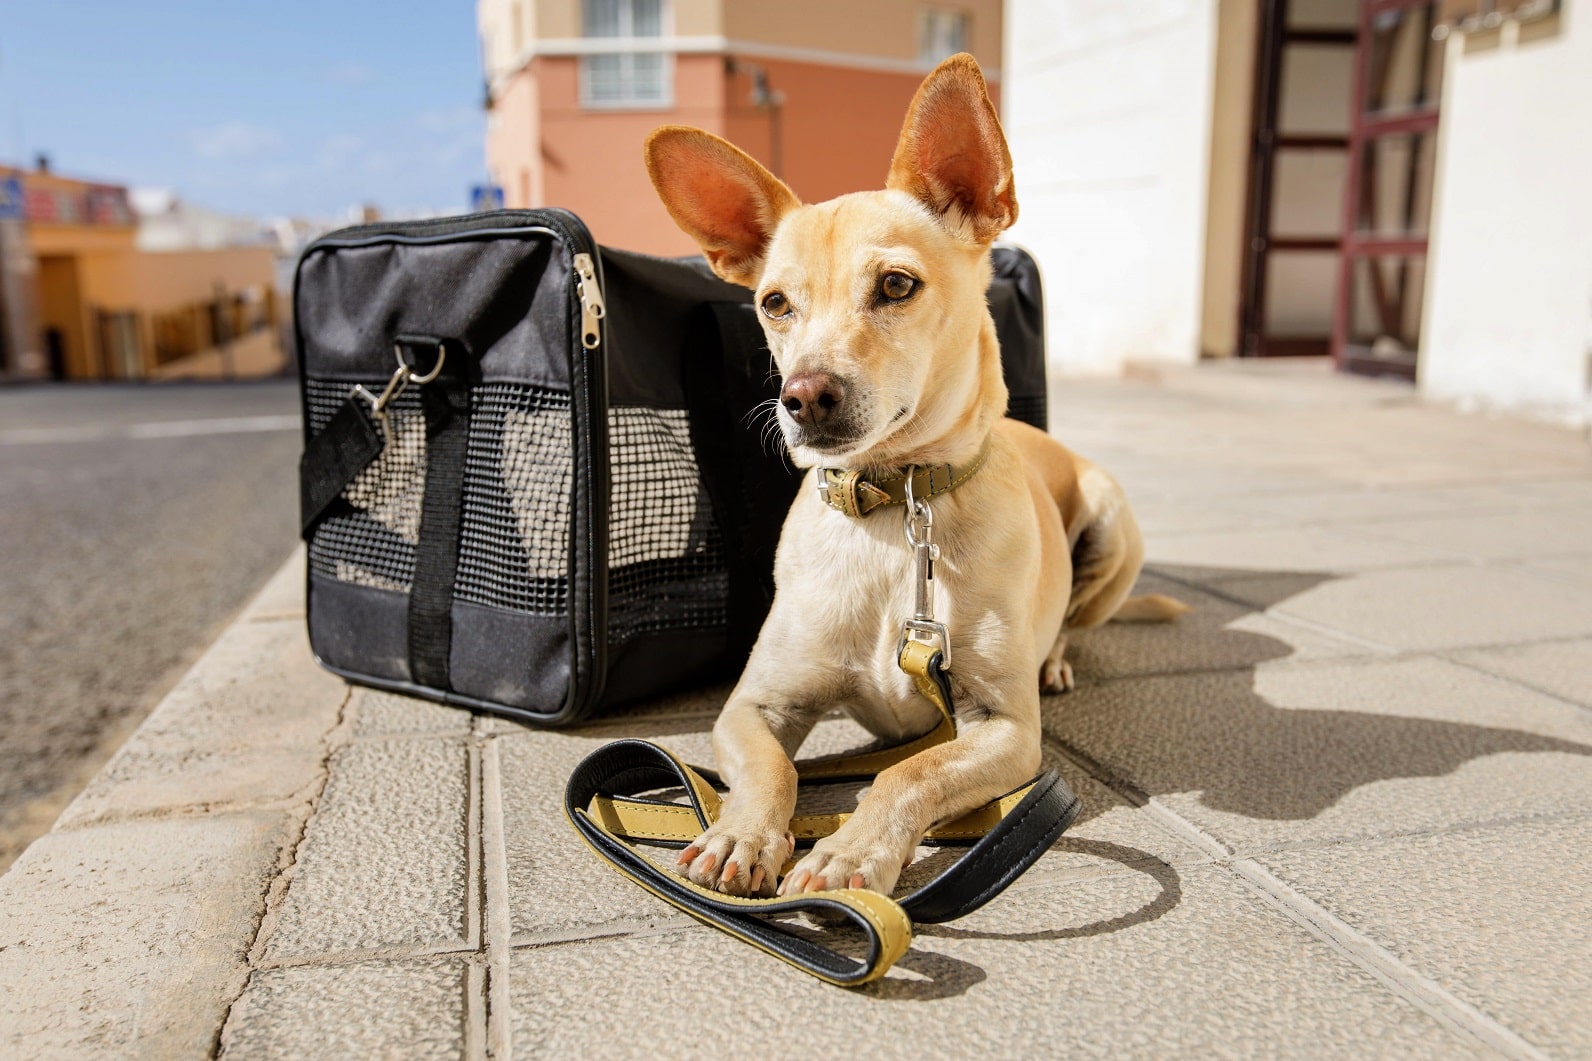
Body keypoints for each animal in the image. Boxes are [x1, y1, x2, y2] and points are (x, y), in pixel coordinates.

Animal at [643, 53, 1184, 898]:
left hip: (1110, 525)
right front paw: (740, 832)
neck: (894, 509)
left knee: (1072, 618)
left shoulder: (1006, 729)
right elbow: (770, 770)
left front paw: (849, 851)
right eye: (774, 302)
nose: (804, 395)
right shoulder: (751, 706)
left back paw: (1056, 656)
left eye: (895, 285)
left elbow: (909, 774)